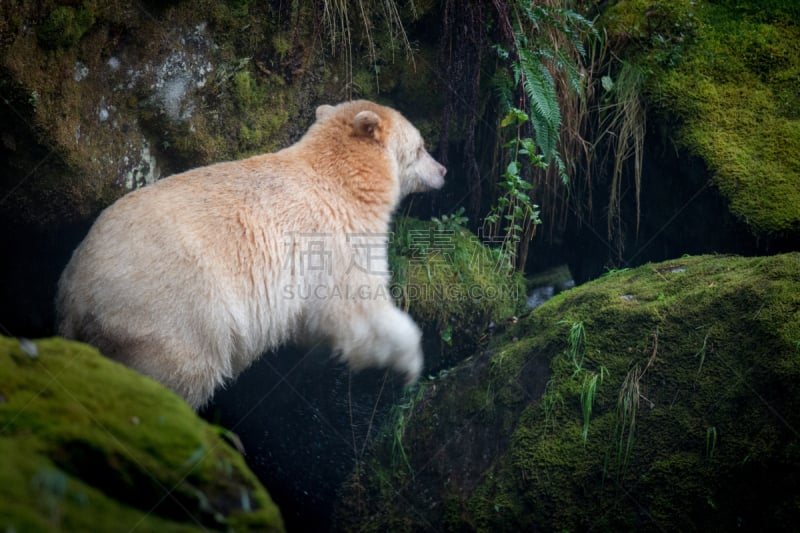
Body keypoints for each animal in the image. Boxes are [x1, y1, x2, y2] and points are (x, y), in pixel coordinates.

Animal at [56, 100, 444, 408]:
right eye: (422, 147)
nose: (443, 171)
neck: (342, 179)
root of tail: (77, 293)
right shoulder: (336, 240)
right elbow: (360, 312)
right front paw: (411, 362)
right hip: (172, 317)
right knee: (179, 375)